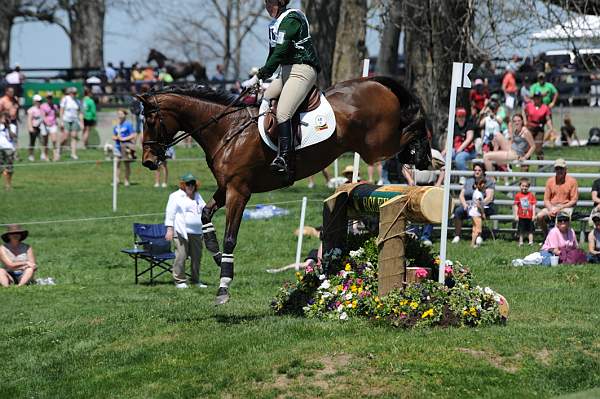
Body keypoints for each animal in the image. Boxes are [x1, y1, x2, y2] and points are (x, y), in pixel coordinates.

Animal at [137, 76, 432, 306]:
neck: (227, 131)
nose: (148, 161)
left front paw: (224, 285)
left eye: (150, 121)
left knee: (413, 127)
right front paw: (216, 254)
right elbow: (205, 215)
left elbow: (231, 237)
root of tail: (373, 82)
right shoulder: (226, 187)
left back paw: (423, 156)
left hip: (377, 143)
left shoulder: (239, 191)